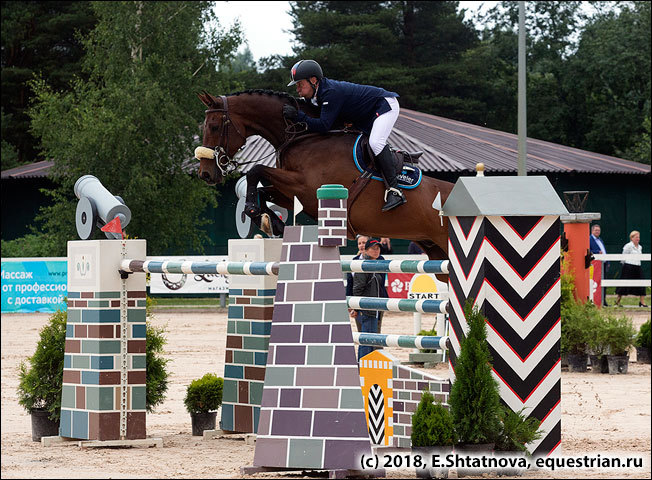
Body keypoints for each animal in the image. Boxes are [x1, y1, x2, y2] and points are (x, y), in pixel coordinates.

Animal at [195, 90, 454, 262]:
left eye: (214, 127)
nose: (205, 174)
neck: (304, 136)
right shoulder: (297, 196)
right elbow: (262, 190)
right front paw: (271, 221)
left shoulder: (307, 188)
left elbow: (256, 170)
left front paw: (254, 211)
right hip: (435, 250)